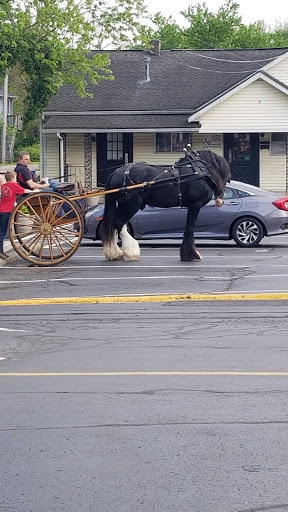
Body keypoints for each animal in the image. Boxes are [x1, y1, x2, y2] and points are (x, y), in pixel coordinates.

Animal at [101, 147, 232, 260]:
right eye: (224, 176)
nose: (220, 200)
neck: (198, 171)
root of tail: (116, 172)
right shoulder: (195, 204)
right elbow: (190, 228)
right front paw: (191, 254)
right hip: (130, 204)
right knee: (119, 222)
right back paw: (130, 251)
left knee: (114, 223)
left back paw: (115, 252)